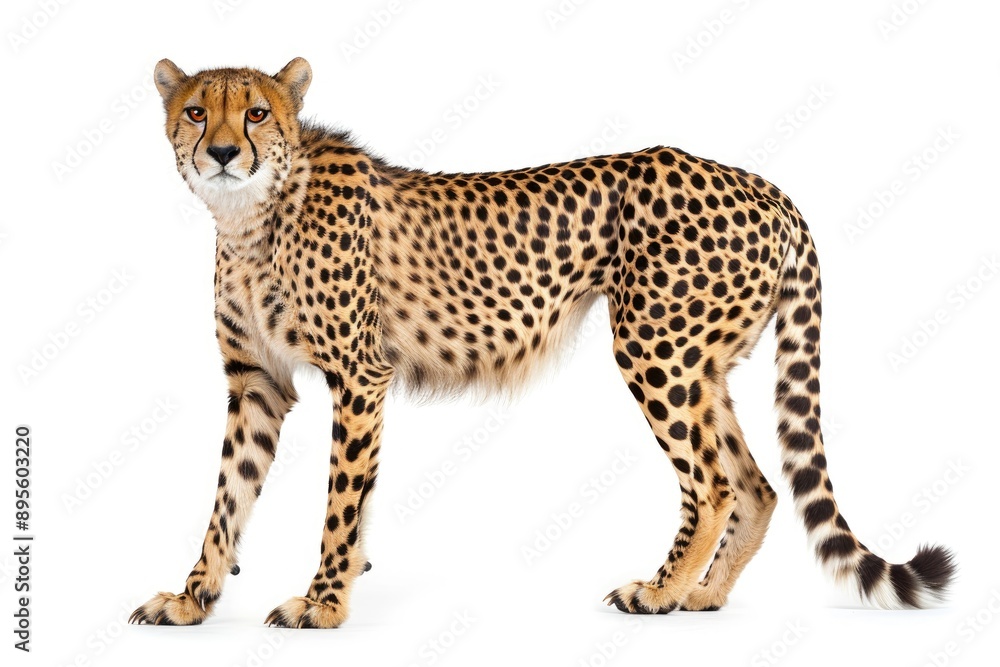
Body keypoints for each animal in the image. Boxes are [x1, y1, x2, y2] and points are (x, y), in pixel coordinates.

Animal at [130, 58, 955, 628]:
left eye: (257, 112)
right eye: (197, 111)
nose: (224, 153)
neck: (252, 216)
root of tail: (761, 184)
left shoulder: (359, 375)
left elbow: (340, 503)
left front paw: (324, 603)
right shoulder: (256, 383)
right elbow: (227, 499)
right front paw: (193, 598)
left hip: (656, 346)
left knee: (714, 483)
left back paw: (658, 590)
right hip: (703, 362)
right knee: (756, 484)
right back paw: (704, 593)